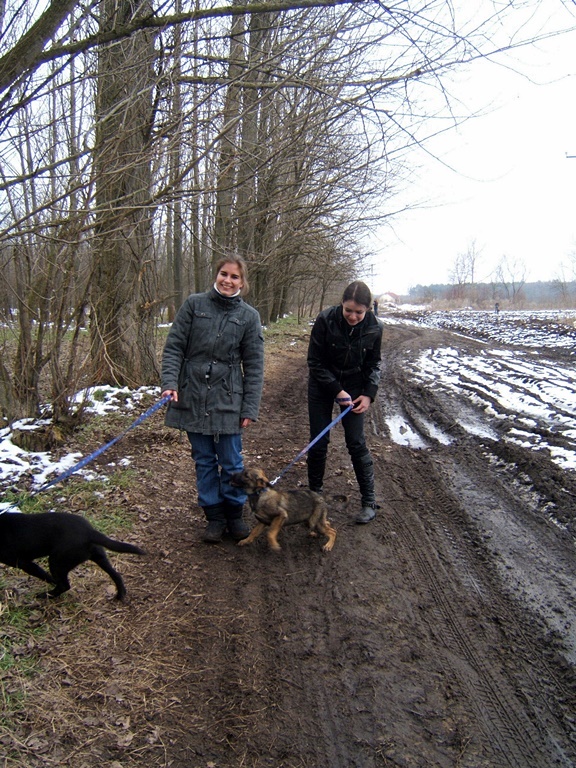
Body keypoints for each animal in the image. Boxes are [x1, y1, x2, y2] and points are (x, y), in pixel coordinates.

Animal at [0, 511, 145, 600]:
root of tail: (89, 532)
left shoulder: (23, 563)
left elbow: (45, 576)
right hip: (99, 557)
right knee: (116, 575)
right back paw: (120, 595)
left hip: (56, 562)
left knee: (64, 585)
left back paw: (45, 595)